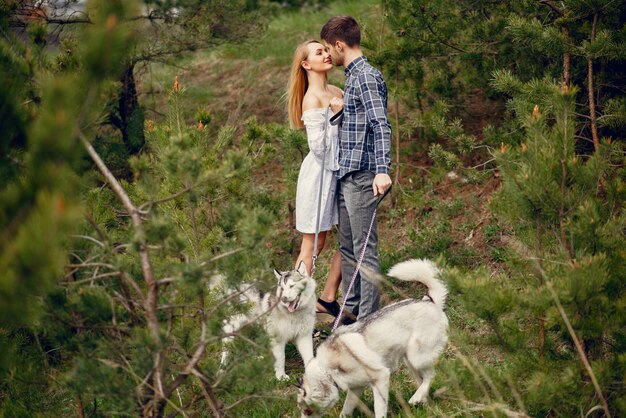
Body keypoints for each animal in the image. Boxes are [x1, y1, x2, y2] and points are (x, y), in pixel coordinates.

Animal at [294, 260, 446, 416]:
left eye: (307, 411)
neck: (326, 370)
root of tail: (430, 301)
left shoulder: (381, 378)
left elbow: (379, 409)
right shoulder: (356, 388)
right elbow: (346, 409)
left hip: (417, 358)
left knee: (430, 375)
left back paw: (416, 398)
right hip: (410, 362)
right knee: (423, 380)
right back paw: (424, 403)